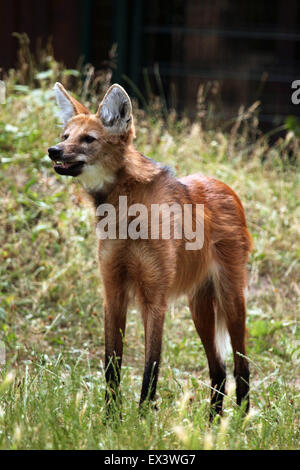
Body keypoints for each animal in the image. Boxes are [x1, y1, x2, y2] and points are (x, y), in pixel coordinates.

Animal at [48, 82, 251, 420]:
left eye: (88, 139)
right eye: (65, 136)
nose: (53, 150)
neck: (125, 213)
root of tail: (226, 187)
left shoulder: (154, 298)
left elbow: (150, 366)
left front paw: (141, 421)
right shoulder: (113, 292)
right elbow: (111, 364)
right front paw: (110, 420)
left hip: (230, 299)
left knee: (241, 365)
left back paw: (242, 423)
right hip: (199, 308)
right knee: (219, 369)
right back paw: (213, 425)